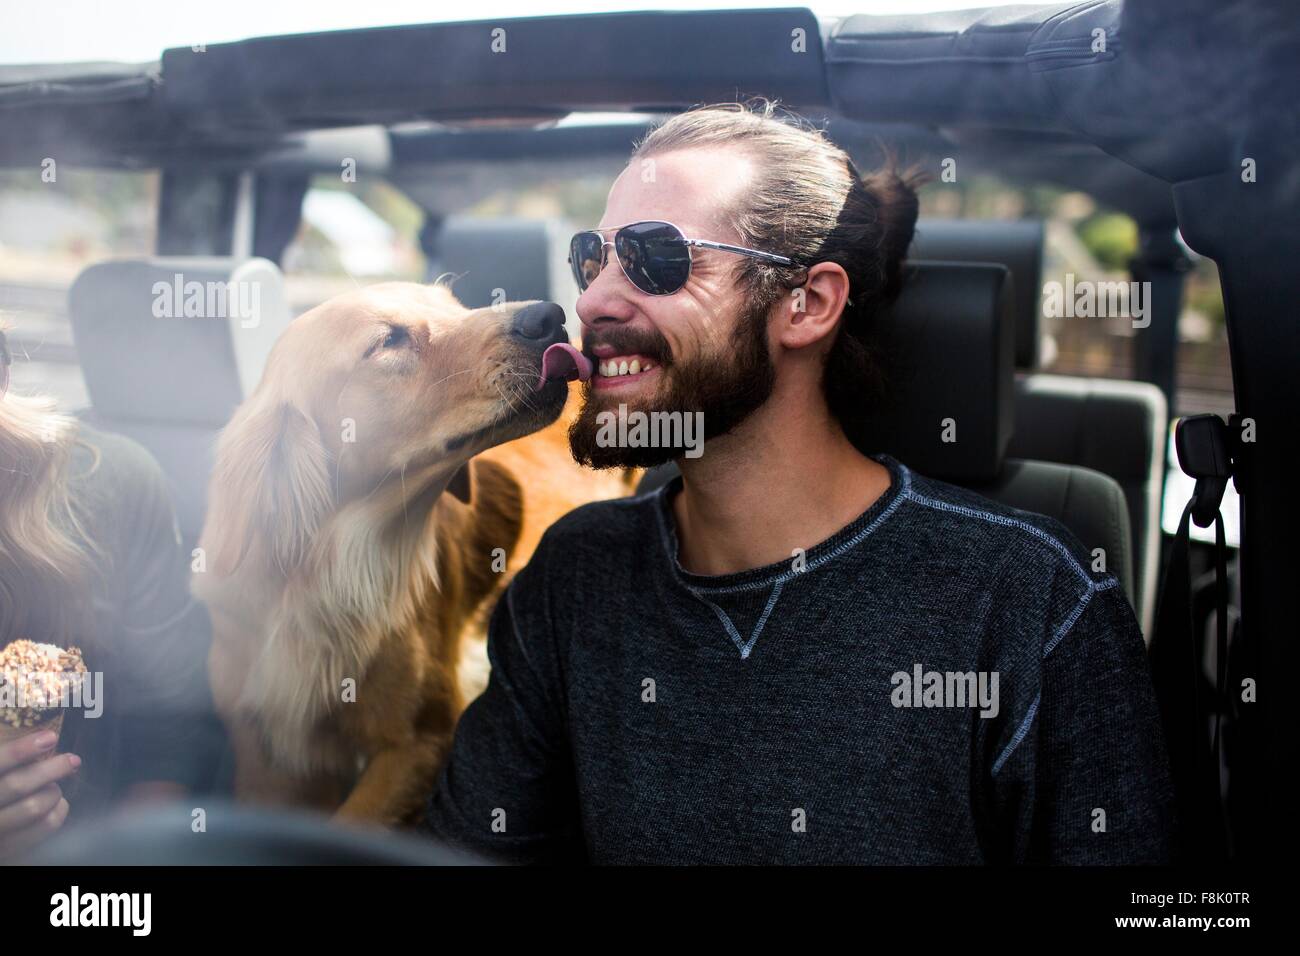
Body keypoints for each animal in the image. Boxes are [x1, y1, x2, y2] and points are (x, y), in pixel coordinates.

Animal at [192, 280, 634, 827]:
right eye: (388, 341)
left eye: (456, 307)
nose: (551, 317)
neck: (324, 572)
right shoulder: (270, 762)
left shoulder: (422, 740)